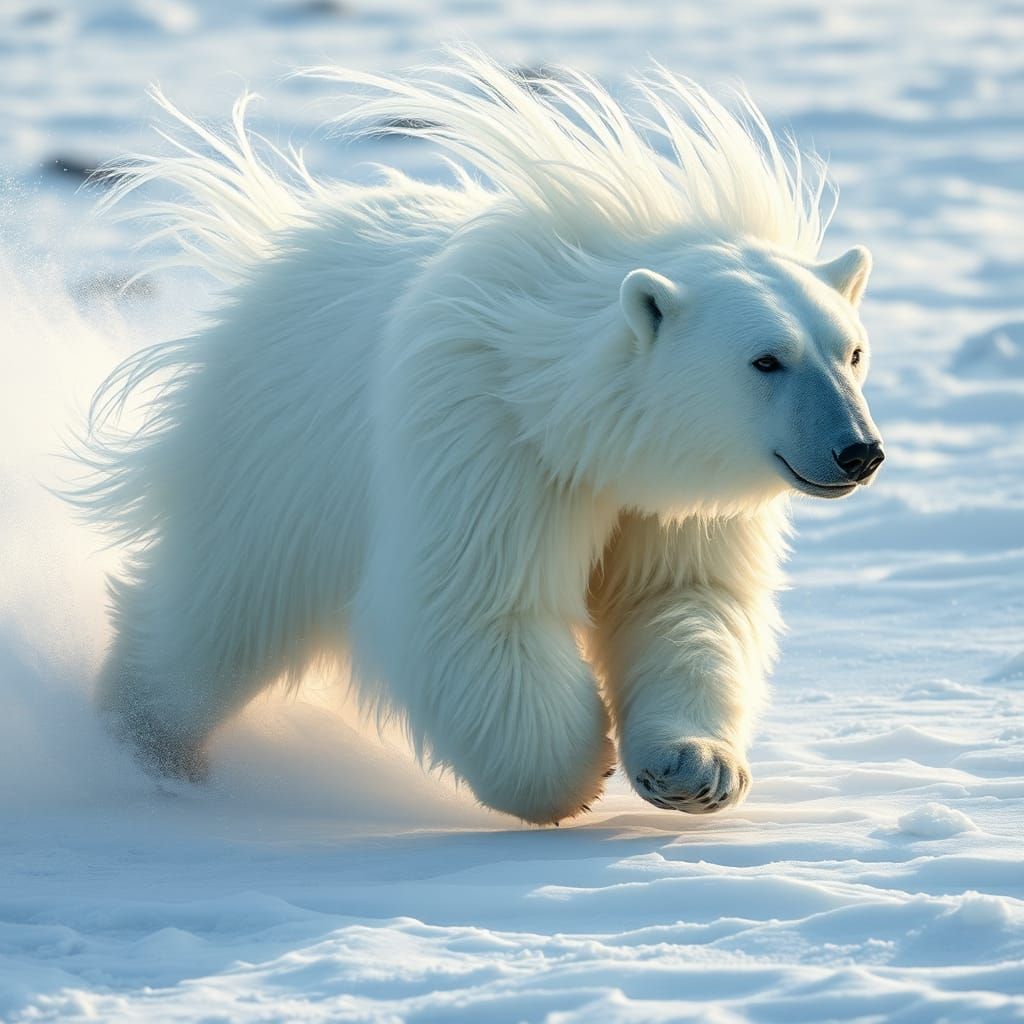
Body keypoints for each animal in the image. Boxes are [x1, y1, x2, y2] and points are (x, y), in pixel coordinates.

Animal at [72, 50, 884, 824]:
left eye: (851, 350)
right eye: (766, 359)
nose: (858, 451)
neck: (568, 411)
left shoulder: (666, 495)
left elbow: (682, 598)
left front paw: (692, 768)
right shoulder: (485, 437)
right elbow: (479, 604)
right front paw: (570, 769)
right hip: (277, 448)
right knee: (225, 606)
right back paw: (146, 741)